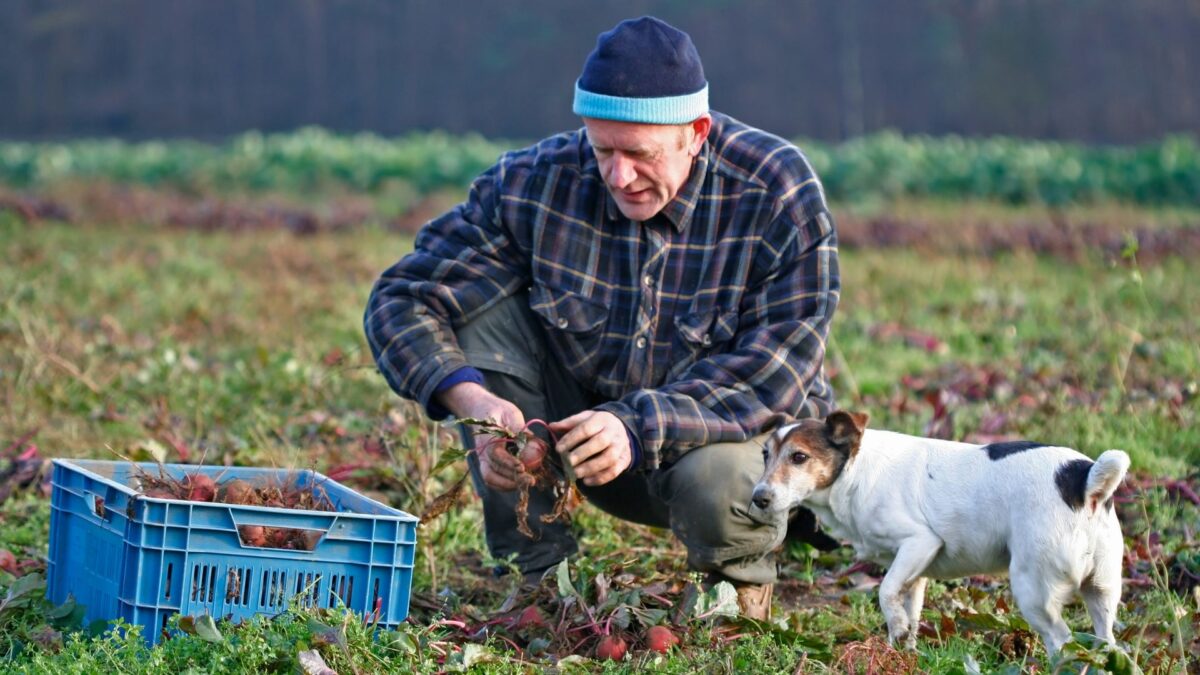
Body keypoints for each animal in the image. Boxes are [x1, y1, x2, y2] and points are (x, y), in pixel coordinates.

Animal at [744, 408, 1128, 648]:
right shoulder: (915, 572)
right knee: (1107, 642)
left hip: (1034, 590)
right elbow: (908, 614)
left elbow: (885, 592)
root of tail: (1082, 481)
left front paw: (896, 629)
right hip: (1103, 590)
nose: (758, 498)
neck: (855, 470)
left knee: (1062, 641)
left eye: (799, 457)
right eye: (764, 455)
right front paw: (900, 651)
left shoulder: (919, 542)